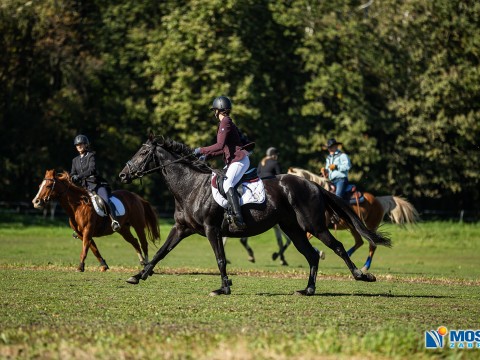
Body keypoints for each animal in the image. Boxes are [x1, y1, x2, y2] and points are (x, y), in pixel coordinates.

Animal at [33, 170, 162, 272]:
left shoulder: (88, 230)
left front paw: (80, 266)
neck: (77, 206)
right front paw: (104, 266)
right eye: (39, 185)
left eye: (49, 185)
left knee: (143, 243)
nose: (36, 202)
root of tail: (136, 197)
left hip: (138, 225)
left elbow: (86, 247)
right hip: (123, 229)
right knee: (134, 241)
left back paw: (147, 264)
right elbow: (93, 248)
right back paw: (142, 262)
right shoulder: (82, 233)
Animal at [118, 136, 392, 296]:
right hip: (293, 229)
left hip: (313, 225)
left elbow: (220, 259)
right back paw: (308, 289)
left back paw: (361, 275)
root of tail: (313, 184)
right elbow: (160, 252)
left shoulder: (211, 229)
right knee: (312, 254)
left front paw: (224, 288)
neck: (190, 186)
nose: (122, 175)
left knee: (337, 247)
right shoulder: (181, 229)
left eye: (142, 154)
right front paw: (138, 275)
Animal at [286, 167, 418, 272]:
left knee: (372, 244)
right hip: (353, 227)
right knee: (359, 242)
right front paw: (321, 253)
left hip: (371, 225)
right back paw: (349, 255)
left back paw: (365, 267)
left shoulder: (317, 226)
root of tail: (379, 200)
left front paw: (320, 253)